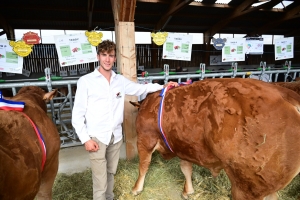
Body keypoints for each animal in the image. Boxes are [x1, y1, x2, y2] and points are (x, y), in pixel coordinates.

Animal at [132, 78, 300, 200]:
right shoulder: (184, 144)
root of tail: (285, 94)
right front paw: (188, 191)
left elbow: (143, 165)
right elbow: (186, 168)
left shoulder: (145, 138)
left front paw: (136, 189)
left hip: (247, 185)